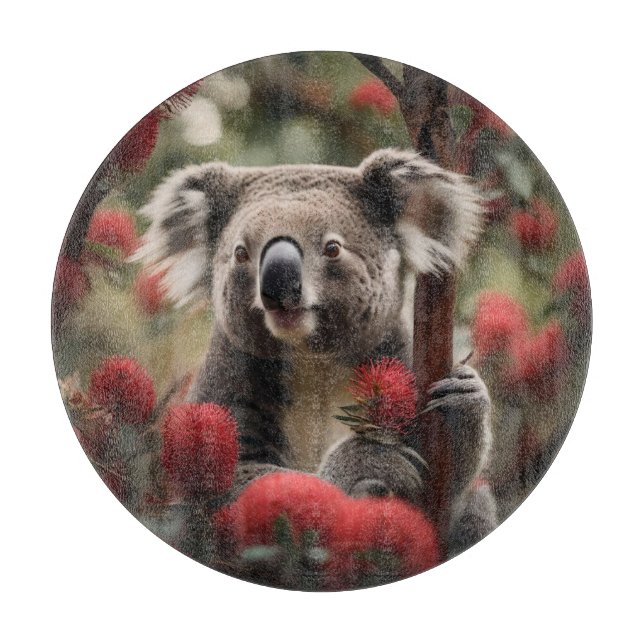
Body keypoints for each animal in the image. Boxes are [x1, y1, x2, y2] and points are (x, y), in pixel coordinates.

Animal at [134, 148, 497, 556]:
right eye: (241, 253)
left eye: (332, 248)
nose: (278, 288)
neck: (313, 357)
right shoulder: (230, 377)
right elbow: (233, 484)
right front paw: (371, 463)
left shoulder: (399, 358)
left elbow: (450, 482)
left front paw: (461, 398)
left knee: (475, 509)